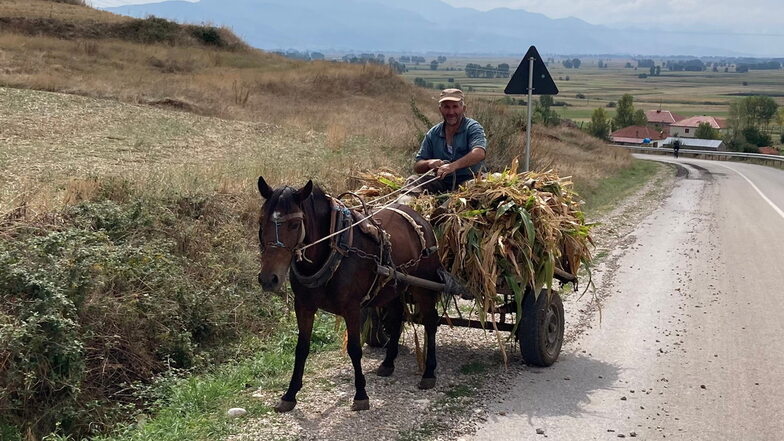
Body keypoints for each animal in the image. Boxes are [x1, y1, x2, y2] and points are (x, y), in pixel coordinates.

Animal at [256, 177, 444, 410]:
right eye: (261, 222)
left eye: (294, 224)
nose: (268, 279)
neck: (333, 251)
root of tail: (421, 218)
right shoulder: (303, 306)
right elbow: (301, 348)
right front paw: (289, 395)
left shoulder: (352, 308)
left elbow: (354, 349)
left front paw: (361, 394)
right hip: (392, 286)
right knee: (397, 316)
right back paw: (388, 363)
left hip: (424, 287)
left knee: (430, 322)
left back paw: (429, 372)